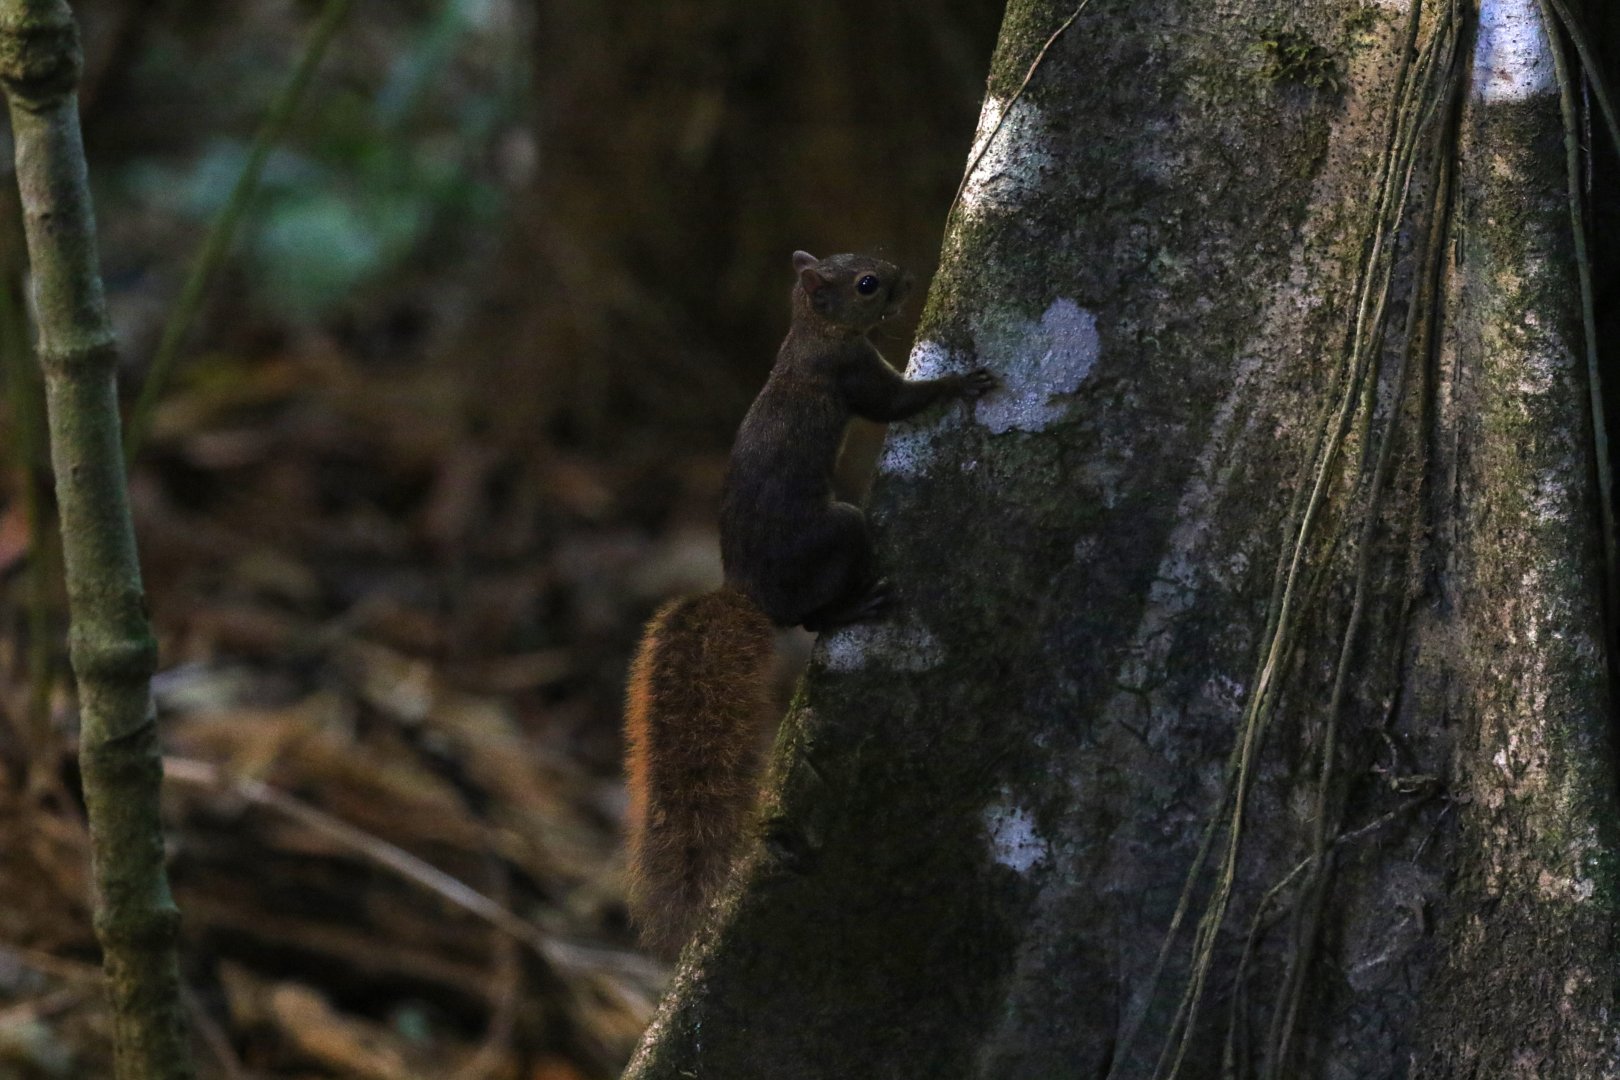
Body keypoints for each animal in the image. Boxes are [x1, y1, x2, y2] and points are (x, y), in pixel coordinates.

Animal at [623, 250, 996, 956]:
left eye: (869, 262)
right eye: (868, 285)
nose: (909, 277)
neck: (808, 335)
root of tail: (750, 596)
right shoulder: (852, 373)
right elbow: (895, 404)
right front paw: (962, 382)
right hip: (838, 534)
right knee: (811, 616)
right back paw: (853, 608)